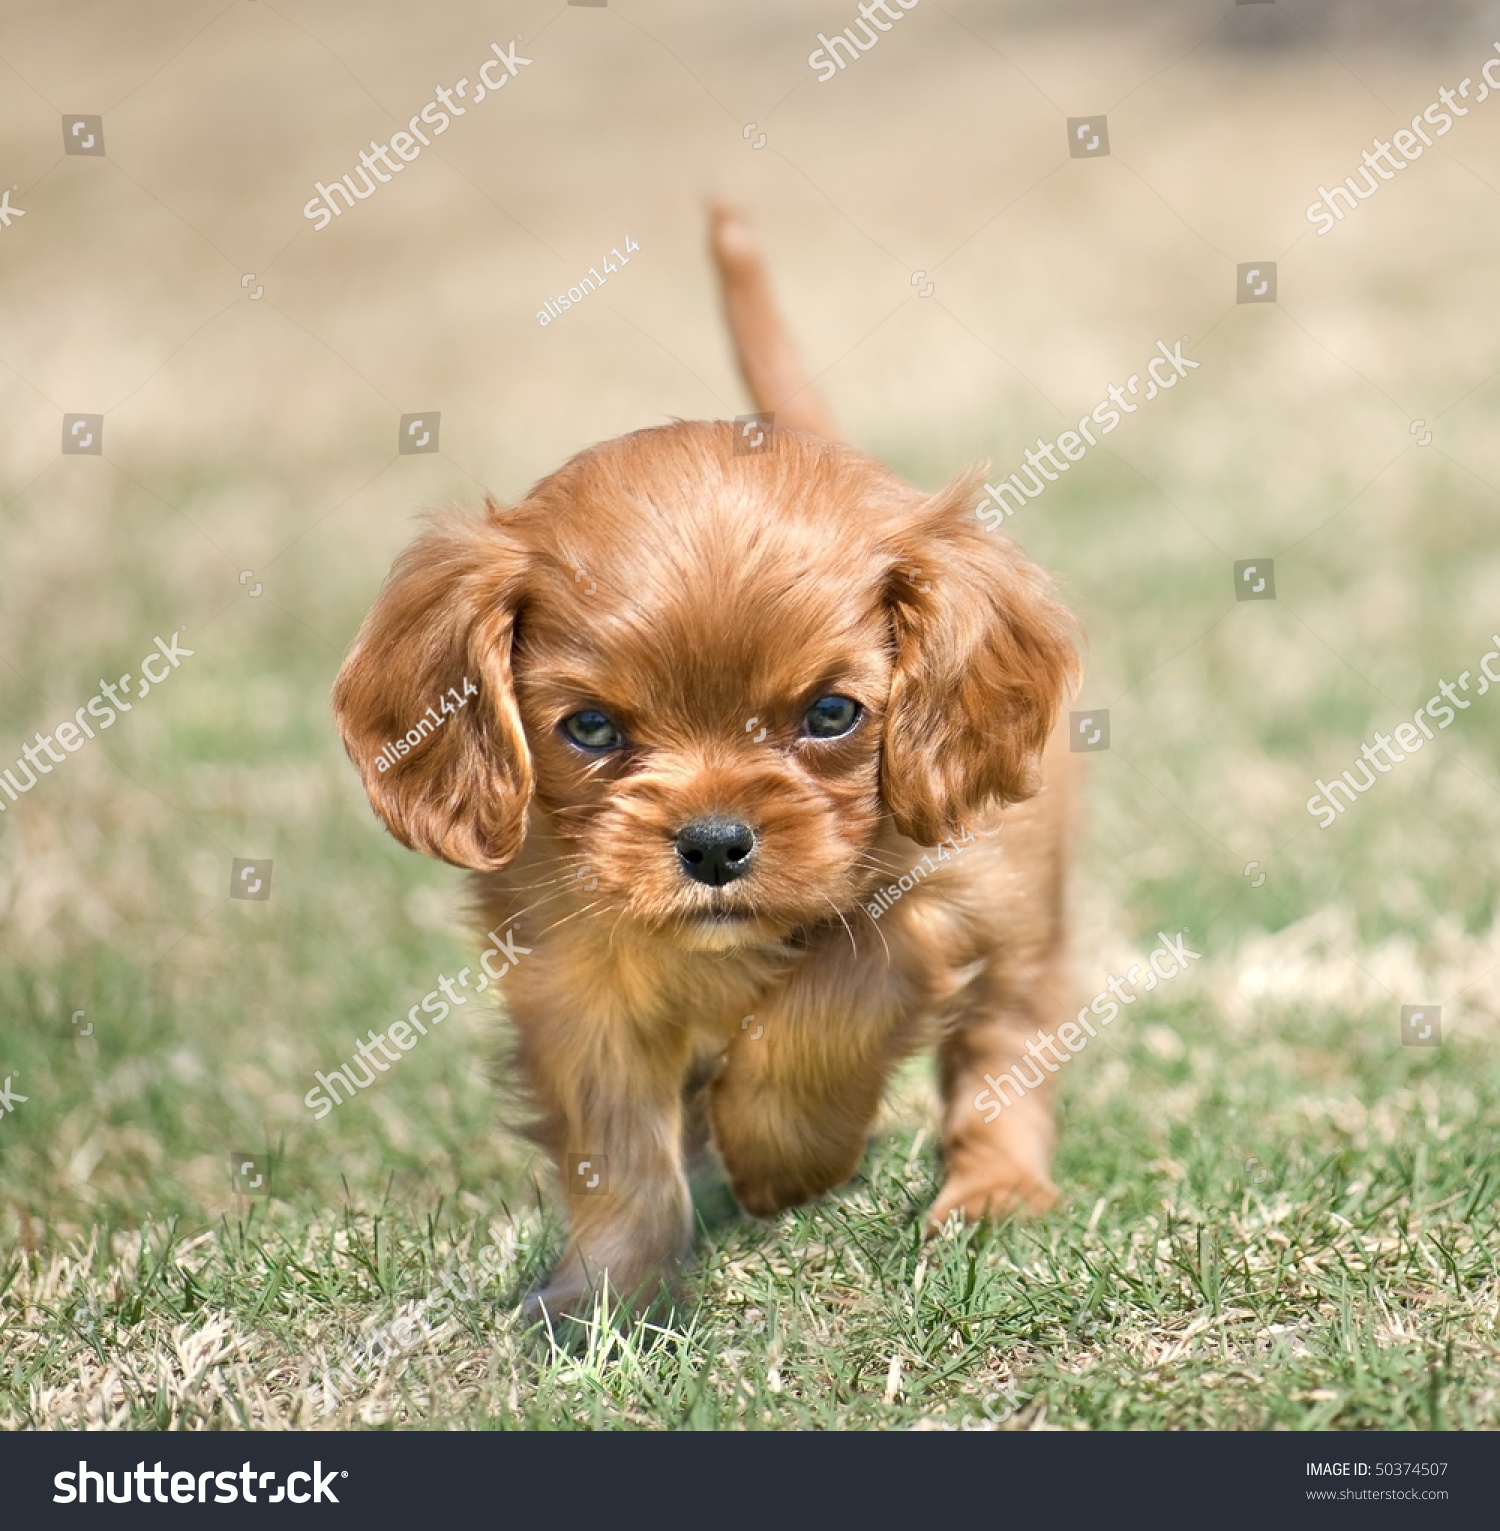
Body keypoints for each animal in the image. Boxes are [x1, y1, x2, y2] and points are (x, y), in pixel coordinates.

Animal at [330, 209, 1077, 1322]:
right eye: (592, 729)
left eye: (831, 714)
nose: (716, 845)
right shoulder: (573, 977)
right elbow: (617, 1150)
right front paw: (604, 1296)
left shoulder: (945, 895)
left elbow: (827, 1003)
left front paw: (778, 1160)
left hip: (1025, 918)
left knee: (1006, 1051)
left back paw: (994, 1192)